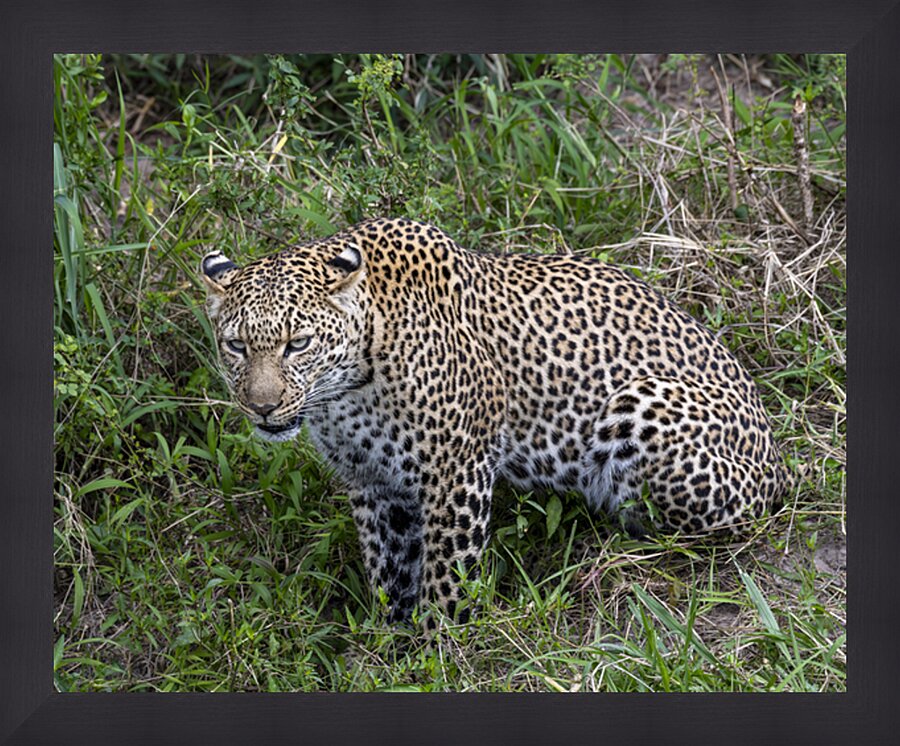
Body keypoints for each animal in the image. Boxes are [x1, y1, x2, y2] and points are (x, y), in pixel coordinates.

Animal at [200, 217, 791, 628]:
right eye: (236, 346)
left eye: (297, 343)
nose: (262, 406)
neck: (347, 391)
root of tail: (782, 464)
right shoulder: (373, 483)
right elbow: (389, 570)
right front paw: (389, 646)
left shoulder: (456, 469)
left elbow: (445, 574)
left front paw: (440, 647)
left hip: (641, 405)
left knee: (702, 531)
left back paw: (606, 551)